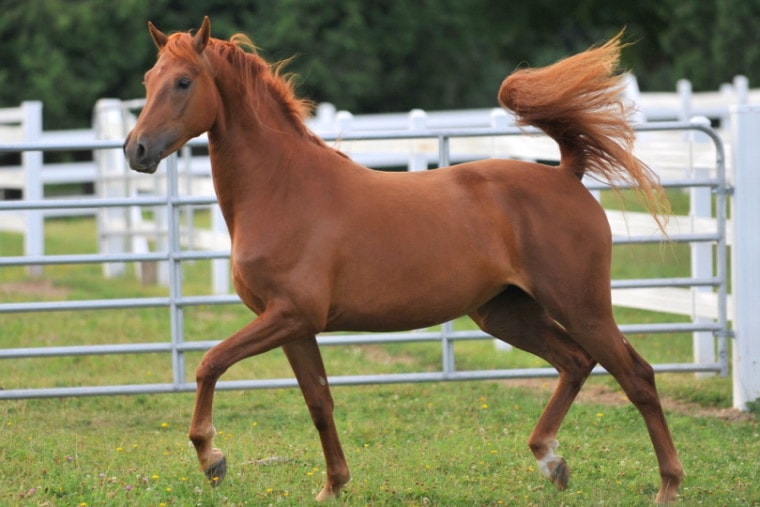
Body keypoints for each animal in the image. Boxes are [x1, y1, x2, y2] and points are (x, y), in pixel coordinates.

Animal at [123, 17, 684, 506]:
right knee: (574, 361)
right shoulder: (295, 325)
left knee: (637, 377)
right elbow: (319, 402)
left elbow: (209, 363)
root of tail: (566, 173)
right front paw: (333, 485)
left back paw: (667, 486)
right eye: (148, 80)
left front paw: (212, 459)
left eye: (183, 81)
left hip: (581, 306)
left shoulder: (289, 315)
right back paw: (551, 461)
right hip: (506, 312)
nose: (136, 150)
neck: (282, 188)